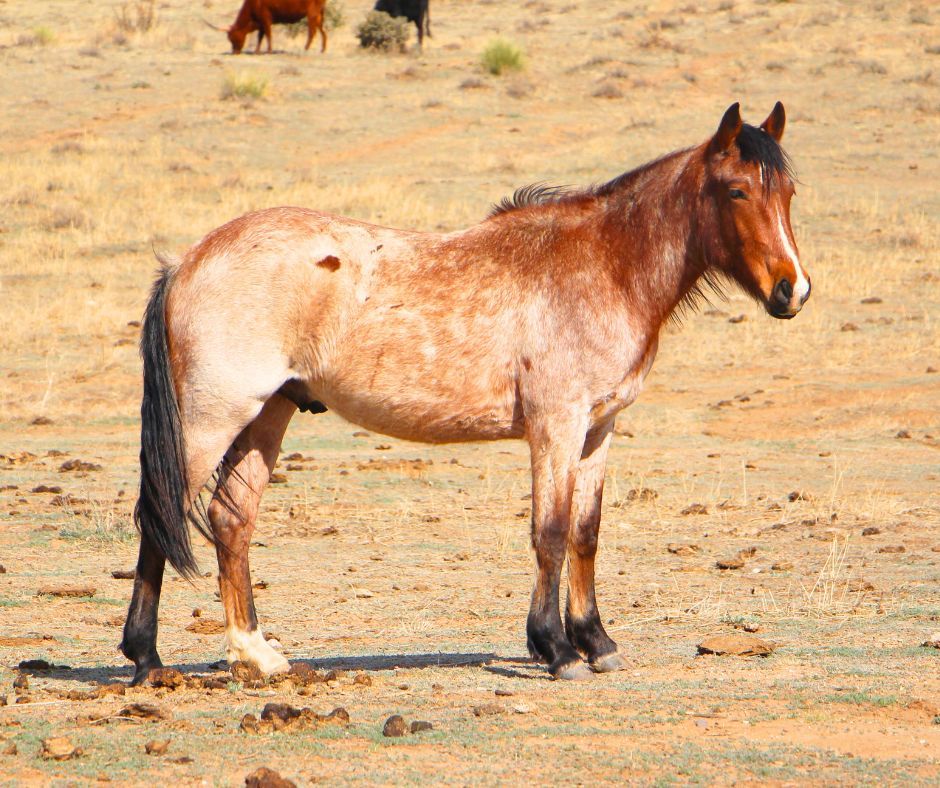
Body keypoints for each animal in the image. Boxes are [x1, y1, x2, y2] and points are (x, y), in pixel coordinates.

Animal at [121, 102, 810, 685]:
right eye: (736, 190)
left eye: (788, 193)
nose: (793, 290)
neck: (604, 266)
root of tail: (185, 262)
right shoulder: (556, 426)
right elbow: (550, 532)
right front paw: (557, 649)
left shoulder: (597, 430)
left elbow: (585, 534)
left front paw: (597, 642)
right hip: (212, 420)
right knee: (160, 515)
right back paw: (146, 657)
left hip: (267, 416)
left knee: (231, 520)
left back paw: (256, 654)